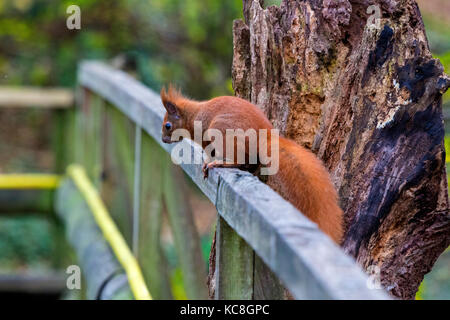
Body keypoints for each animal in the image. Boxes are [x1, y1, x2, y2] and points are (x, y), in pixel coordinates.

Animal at [160, 85, 342, 242]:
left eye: (168, 125)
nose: (163, 140)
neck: (193, 116)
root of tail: (265, 135)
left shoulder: (205, 137)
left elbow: (208, 152)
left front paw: (207, 163)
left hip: (224, 135)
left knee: (239, 160)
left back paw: (222, 164)